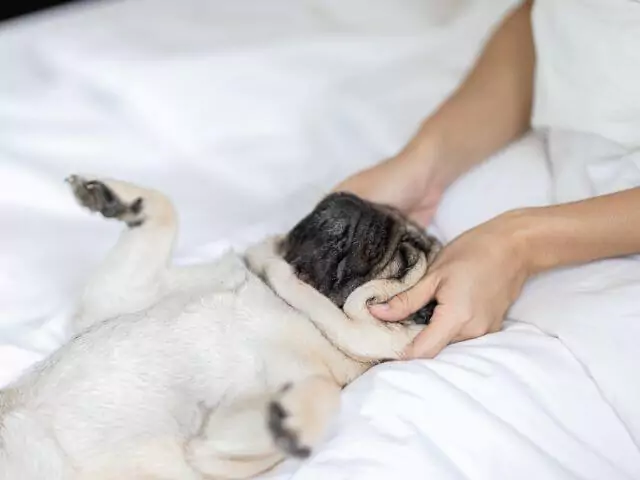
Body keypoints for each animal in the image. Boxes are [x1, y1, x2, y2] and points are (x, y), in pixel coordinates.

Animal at [0, 175, 440, 480]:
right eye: (385, 205)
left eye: (404, 259)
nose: (361, 206)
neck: (289, 301)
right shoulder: (119, 295)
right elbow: (165, 212)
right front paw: (121, 197)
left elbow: (324, 393)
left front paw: (288, 421)